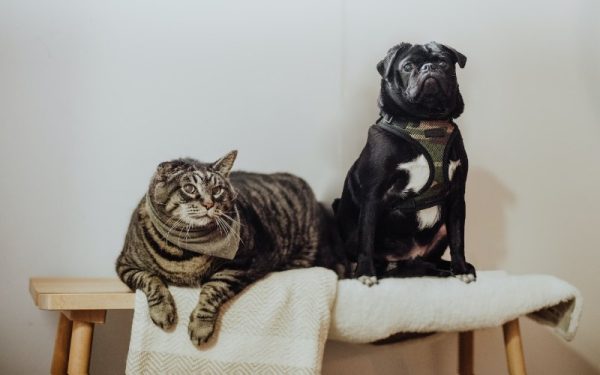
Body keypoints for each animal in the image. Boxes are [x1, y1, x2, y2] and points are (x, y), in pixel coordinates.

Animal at [117, 151, 342, 346]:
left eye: (217, 190)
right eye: (189, 188)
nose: (209, 204)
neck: (187, 250)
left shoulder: (241, 264)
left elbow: (213, 289)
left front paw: (200, 326)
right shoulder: (125, 264)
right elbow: (151, 280)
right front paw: (163, 312)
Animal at [330, 41, 476, 286]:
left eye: (443, 62)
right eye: (407, 66)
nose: (429, 67)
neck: (426, 122)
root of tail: (406, 259)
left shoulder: (457, 197)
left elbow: (458, 238)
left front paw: (461, 268)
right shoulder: (373, 196)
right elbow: (366, 238)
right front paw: (366, 273)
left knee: (429, 261)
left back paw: (448, 269)